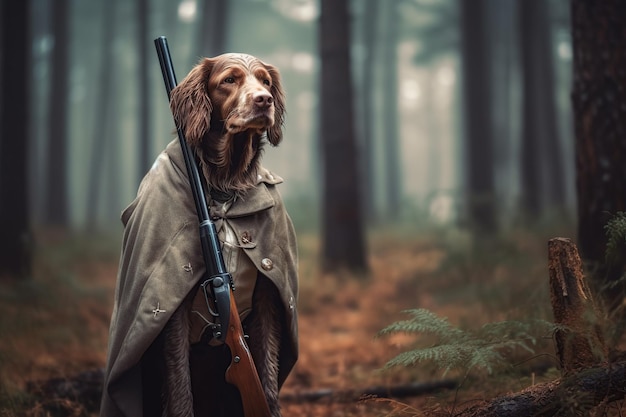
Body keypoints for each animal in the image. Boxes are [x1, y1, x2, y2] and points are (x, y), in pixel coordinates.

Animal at [99, 52, 298, 416]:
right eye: (229, 80)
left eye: (265, 81)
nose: (264, 100)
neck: (223, 186)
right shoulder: (170, 312)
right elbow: (180, 391)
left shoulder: (268, 300)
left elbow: (268, 380)